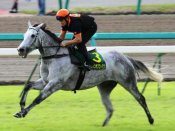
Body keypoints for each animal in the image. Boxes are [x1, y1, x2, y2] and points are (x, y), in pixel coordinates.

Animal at [14, 22, 163, 126]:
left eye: (33, 36)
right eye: (23, 36)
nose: (20, 50)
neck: (55, 56)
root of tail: (126, 57)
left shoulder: (55, 84)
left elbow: (38, 99)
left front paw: (23, 112)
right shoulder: (45, 81)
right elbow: (28, 85)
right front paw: (21, 106)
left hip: (128, 82)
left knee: (141, 98)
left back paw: (151, 120)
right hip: (105, 87)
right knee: (110, 108)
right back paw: (103, 125)